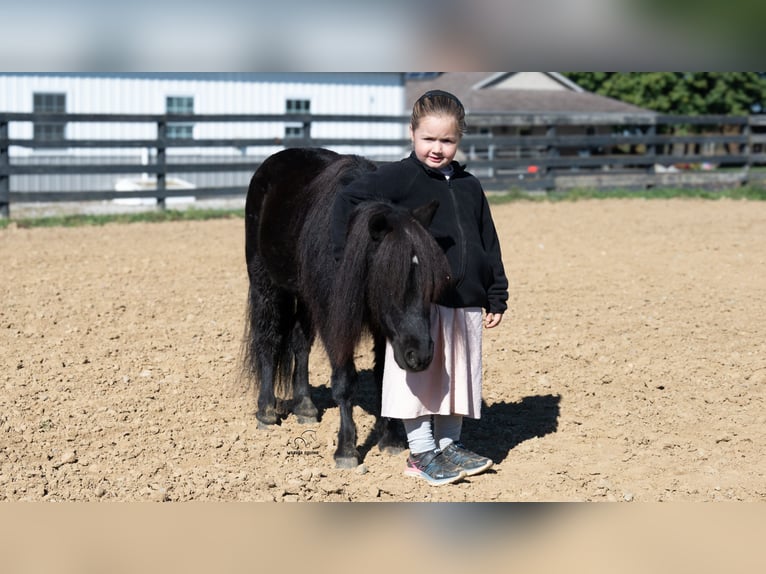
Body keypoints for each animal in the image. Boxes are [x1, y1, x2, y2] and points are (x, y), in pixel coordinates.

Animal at [243, 147, 451, 468]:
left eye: (431, 283)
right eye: (387, 281)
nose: (420, 356)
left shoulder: (381, 326)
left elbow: (382, 378)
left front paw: (390, 439)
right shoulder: (335, 320)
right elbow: (344, 381)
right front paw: (347, 449)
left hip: (306, 297)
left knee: (299, 343)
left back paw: (305, 406)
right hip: (266, 283)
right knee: (269, 341)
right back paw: (266, 411)